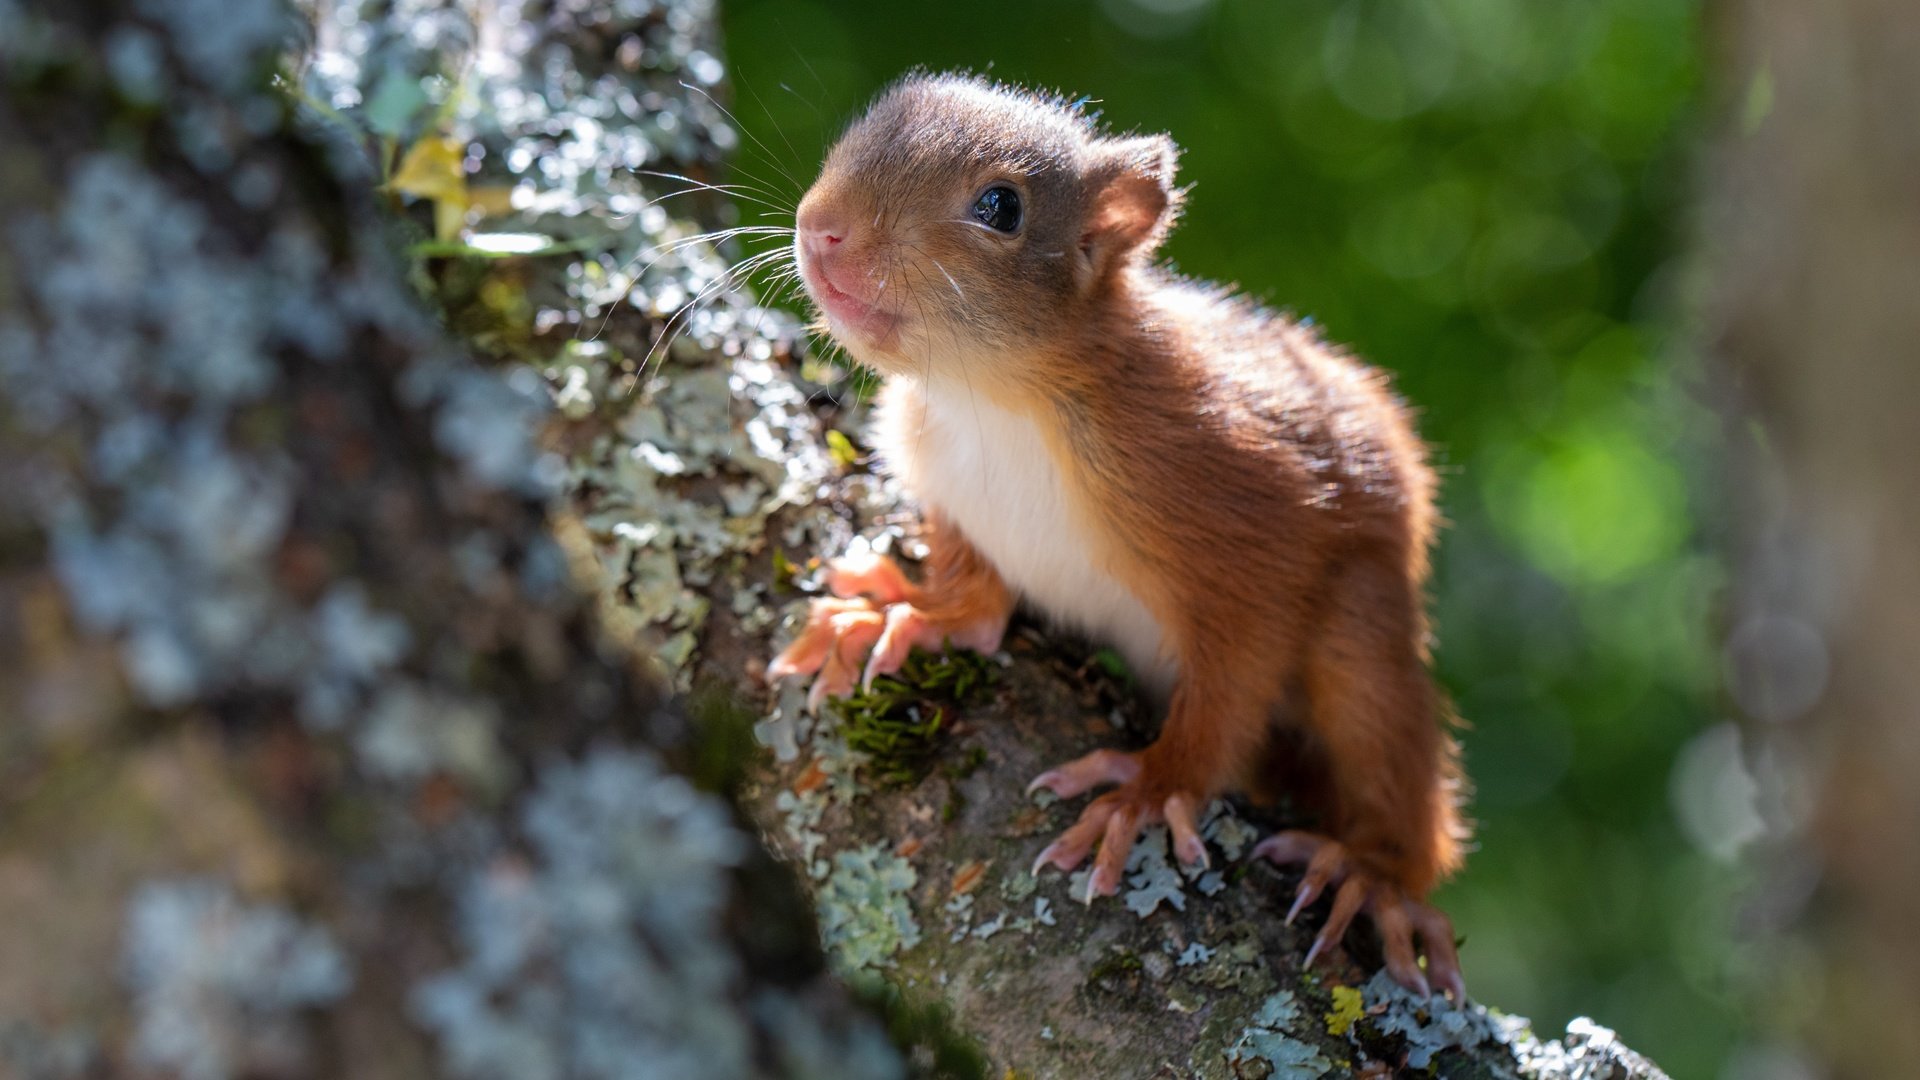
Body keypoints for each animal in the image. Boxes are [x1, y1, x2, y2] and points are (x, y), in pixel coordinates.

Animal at [764, 71, 1466, 999]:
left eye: (1001, 207)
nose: (821, 228)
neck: (994, 400)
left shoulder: (1245, 509)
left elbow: (1237, 673)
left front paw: (1150, 787)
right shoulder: (946, 485)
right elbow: (974, 596)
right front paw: (908, 615)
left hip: (1364, 622)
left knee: (1389, 751)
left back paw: (1375, 875)